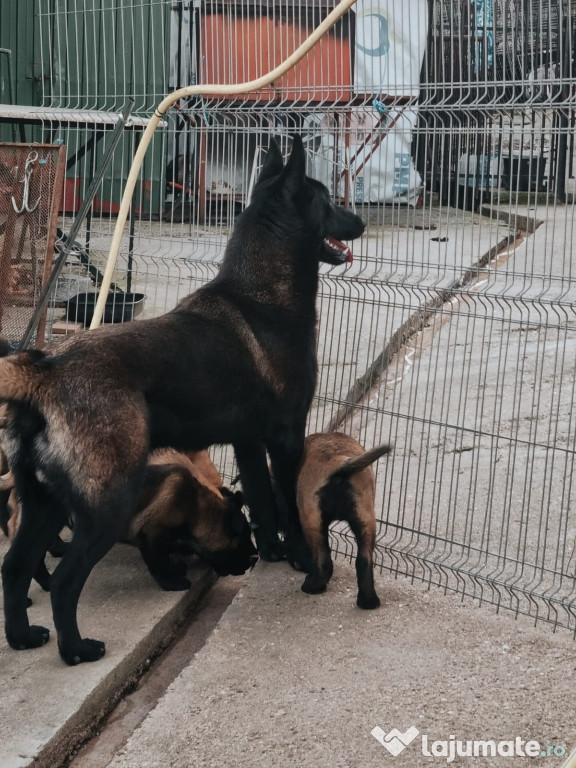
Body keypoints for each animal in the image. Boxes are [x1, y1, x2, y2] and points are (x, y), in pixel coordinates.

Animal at [0, 135, 364, 664]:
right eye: (324, 199)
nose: (361, 221)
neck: (261, 297)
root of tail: (43, 371)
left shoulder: (248, 443)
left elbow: (263, 503)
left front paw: (273, 553)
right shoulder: (285, 437)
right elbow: (292, 508)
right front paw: (308, 564)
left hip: (44, 504)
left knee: (14, 568)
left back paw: (23, 637)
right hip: (105, 505)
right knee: (65, 582)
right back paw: (77, 648)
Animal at [296, 436, 392, 608]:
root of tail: (339, 463)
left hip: (310, 522)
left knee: (322, 558)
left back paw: (312, 586)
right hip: (365, 520)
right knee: (364, 560)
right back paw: (368, 601)